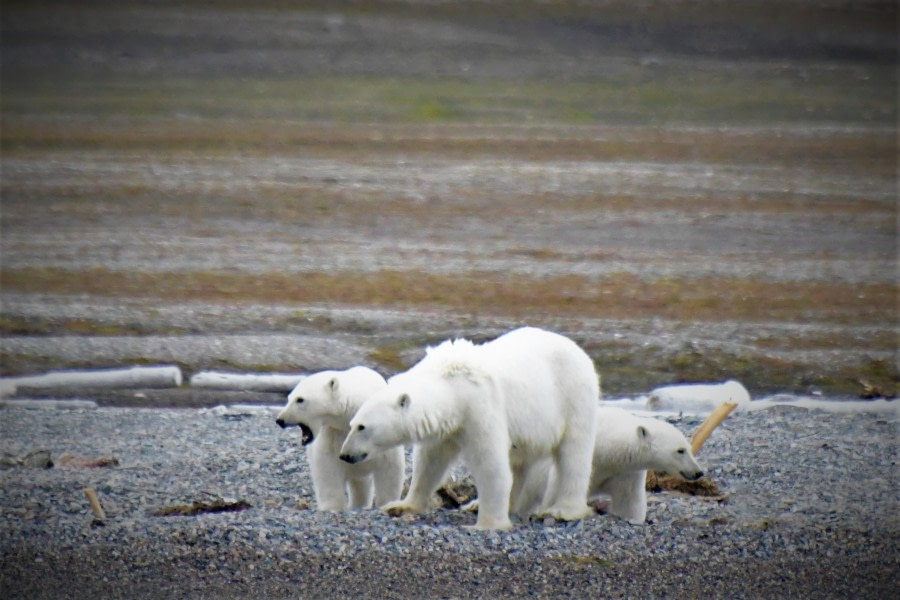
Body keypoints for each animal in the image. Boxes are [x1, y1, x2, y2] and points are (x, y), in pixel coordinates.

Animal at [272, 366, 402, 510]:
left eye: (300, 399)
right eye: (289, 398)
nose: (280, 420)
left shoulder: (381, 431)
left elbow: (388, 468)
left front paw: (388, 503)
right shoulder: (331, 434)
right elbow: (328, 470)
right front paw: (332, 506)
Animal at [338, 328, 596, 528]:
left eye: (361, 427)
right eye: (351, 424)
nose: (345, 455)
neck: (451, 385)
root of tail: (577, 349)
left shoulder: (479, 407)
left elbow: (489, 462)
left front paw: (488, 524)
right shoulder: (446, 424)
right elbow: (430, 462)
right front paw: (401, 506)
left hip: (573, 395)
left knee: (574, 454)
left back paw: (563, 510)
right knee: (520, 461)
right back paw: (482, 504)